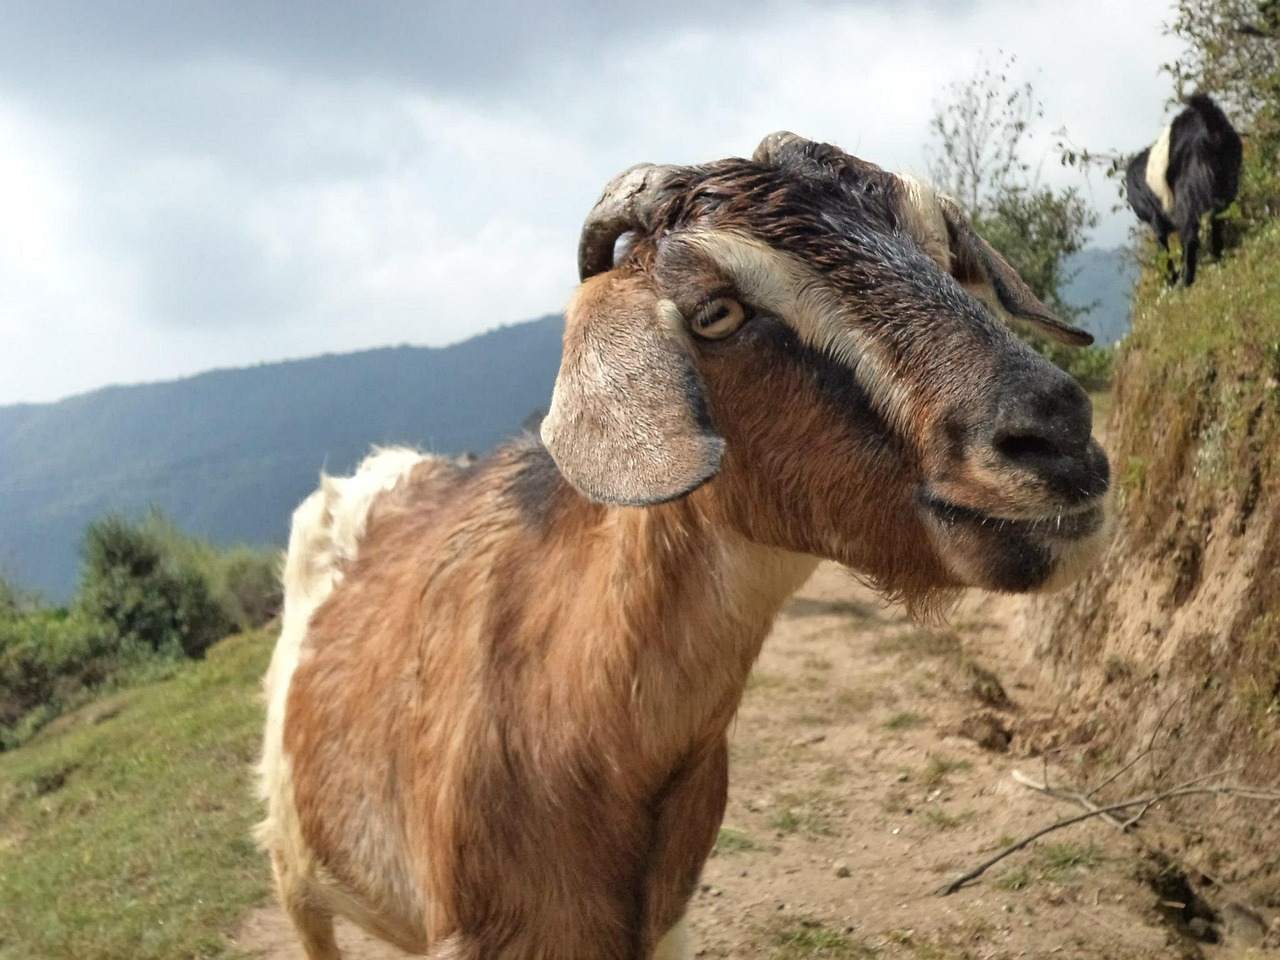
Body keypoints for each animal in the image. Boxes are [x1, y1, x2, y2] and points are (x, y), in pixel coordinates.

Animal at [1131, 93, 1239, 289]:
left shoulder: (1156, 219)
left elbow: (1164, 249)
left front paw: (1171, 280)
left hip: (1188, 193)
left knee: (1190, 236)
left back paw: (1186, 281)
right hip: (1227, 184)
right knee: (1218, 220)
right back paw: (1217, 257)